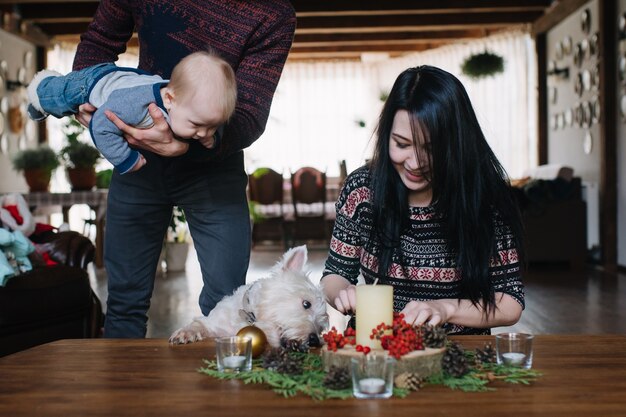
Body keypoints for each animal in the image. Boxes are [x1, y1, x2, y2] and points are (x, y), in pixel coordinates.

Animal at [168, 245, 330, 346]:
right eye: (306, 304)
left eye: (321, 328)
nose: (314, 340)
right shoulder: (214, 325)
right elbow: (199, 324)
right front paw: (184, 333)